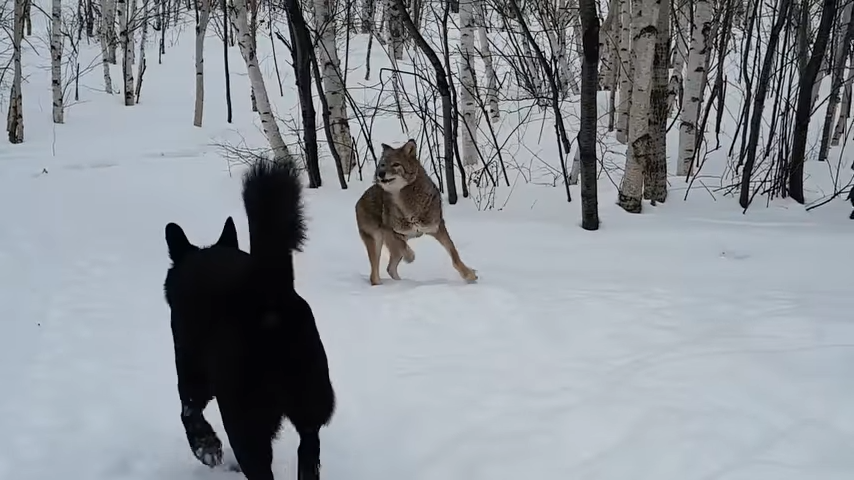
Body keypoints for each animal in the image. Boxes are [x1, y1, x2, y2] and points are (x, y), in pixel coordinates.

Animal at [162, 158, 336, 480]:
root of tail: (269, 290)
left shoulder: (190, 368)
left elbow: (189, 411)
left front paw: (206, 447)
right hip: (311, 399)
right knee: (309, 446)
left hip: (243, 417)